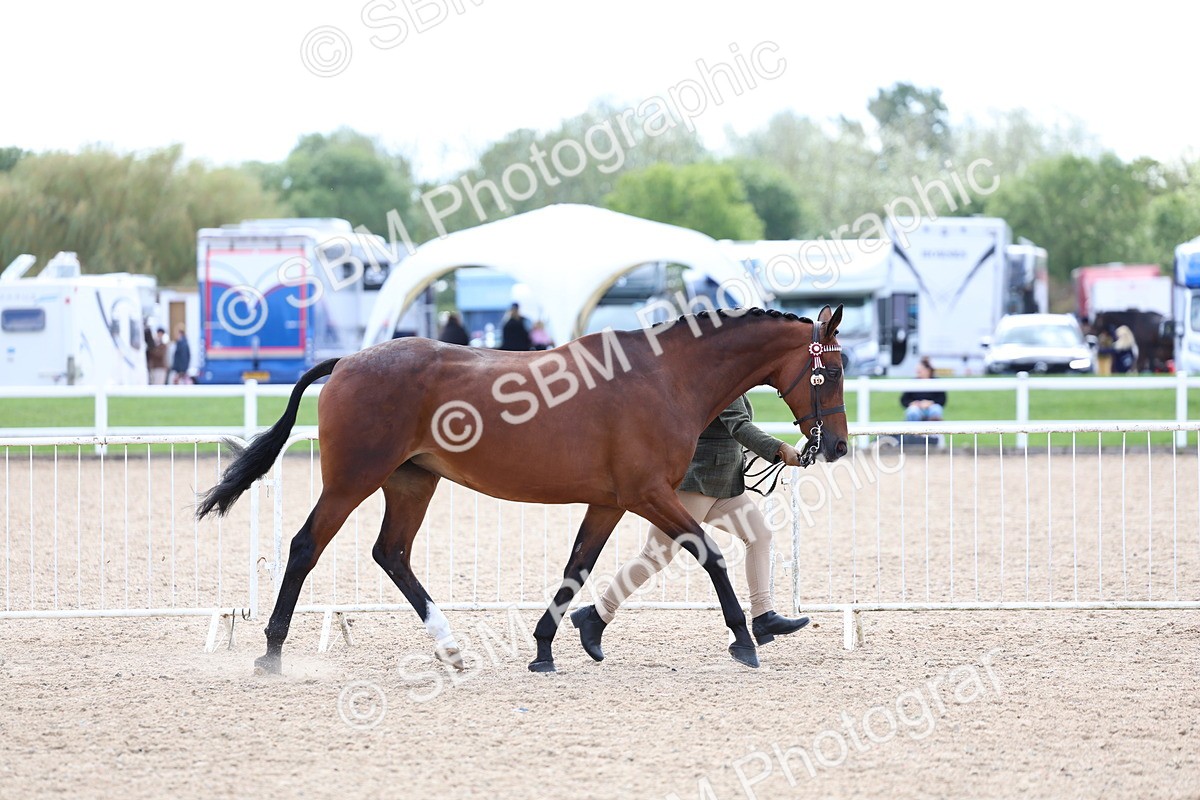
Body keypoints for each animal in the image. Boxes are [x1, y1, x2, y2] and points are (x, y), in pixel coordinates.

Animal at [196, 305, 849, 674]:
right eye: (835, 369)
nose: (837, 447)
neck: (664, 376)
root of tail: (349, 360)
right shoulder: (646, 495)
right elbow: (710, 554)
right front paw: (745, 641)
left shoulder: (610, 502)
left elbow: (576, 569)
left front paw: (546, 648)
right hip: (354, 479)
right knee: (306, 547)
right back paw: (271, 653)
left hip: (412, 481)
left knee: (392, 554)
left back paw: (451, 648)